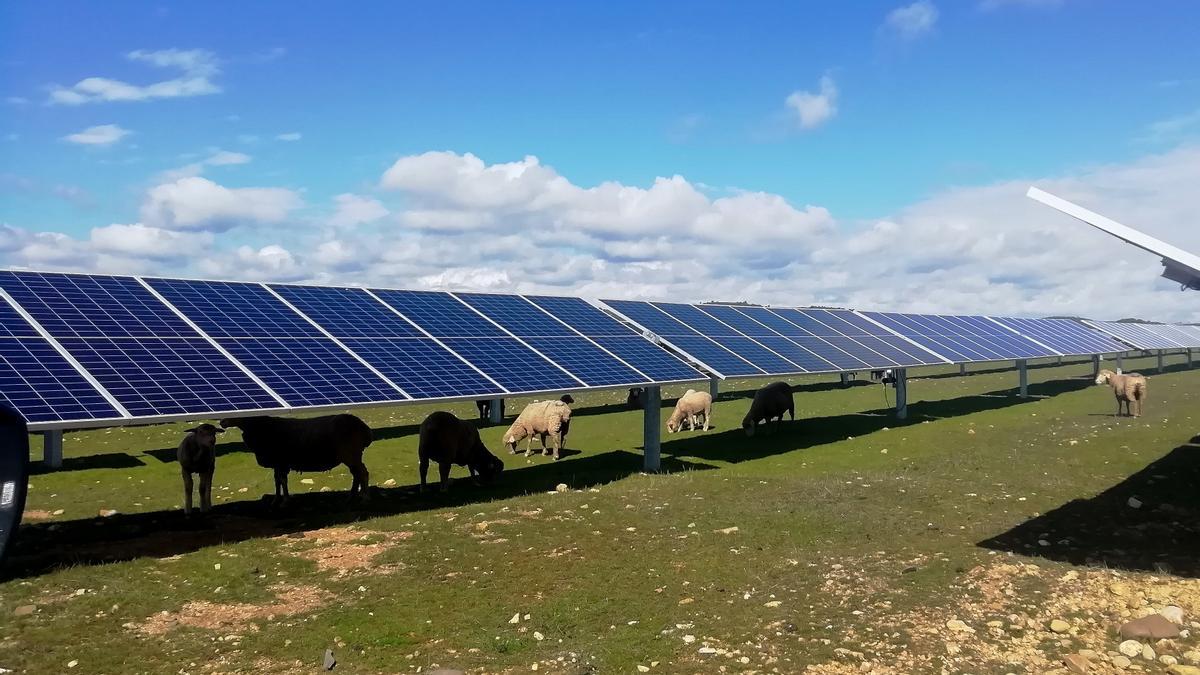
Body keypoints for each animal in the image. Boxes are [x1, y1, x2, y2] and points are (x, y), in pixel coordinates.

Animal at [218, 410, 372, 504]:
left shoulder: (280, 462)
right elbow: (277, 481)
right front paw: (277, 499)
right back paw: (351, 496)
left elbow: (282, 481)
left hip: (351, 455)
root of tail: (365, 429)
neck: (259, 427)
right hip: (352, 456)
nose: (222, 422)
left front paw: (285, 500)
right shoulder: (278, 464)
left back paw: (364, 496)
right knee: (357, 474)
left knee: (362, 473)